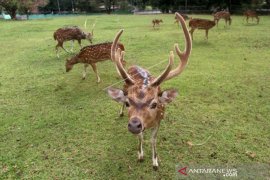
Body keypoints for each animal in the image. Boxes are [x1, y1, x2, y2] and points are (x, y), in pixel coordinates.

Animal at [106, 13, 191, 170]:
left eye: (155, 104)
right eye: (128, 103)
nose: (134, 125)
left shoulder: (159, 121)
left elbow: (153, 140)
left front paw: (155, 161)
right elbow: (140, 137)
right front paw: (140, 155)